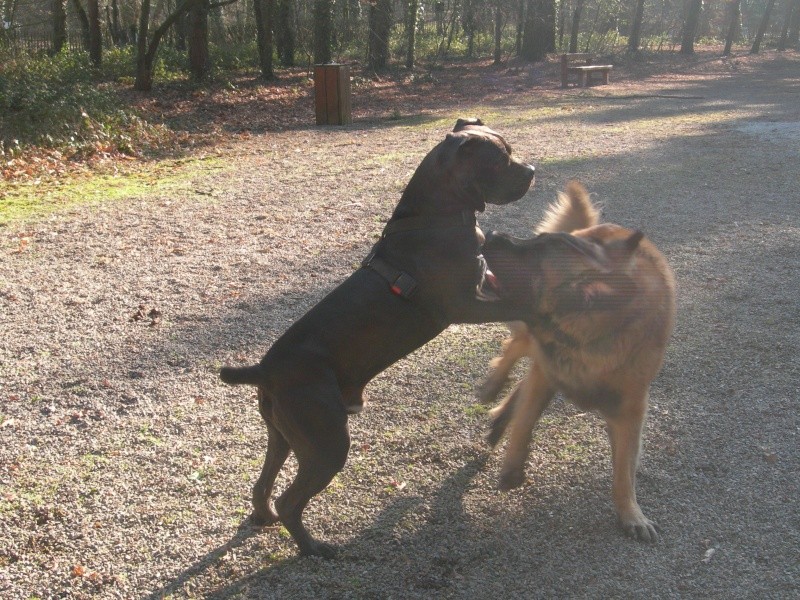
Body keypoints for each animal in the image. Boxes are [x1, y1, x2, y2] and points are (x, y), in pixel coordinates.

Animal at [222, 118, 536, 556]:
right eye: (500, 159)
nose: (532, 170)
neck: (436, 216)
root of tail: (264, 370)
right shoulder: (465, 306)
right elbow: (519, 305)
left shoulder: (482, 288)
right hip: (327, 442)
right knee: (291, 500)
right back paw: (314, 548)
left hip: (284, 436)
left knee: (263, 482)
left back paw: (264, 517)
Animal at [478, 180, 680, 540]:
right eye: (536, 243)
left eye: (534, 255)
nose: (492, 232)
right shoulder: (545, 371)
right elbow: (526, 420)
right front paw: (513, 467)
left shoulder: (631, 409)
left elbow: (624, 469)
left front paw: (631, 513)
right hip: (530, 343)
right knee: (515, 347)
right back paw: (494, 387)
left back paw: (501, 413)